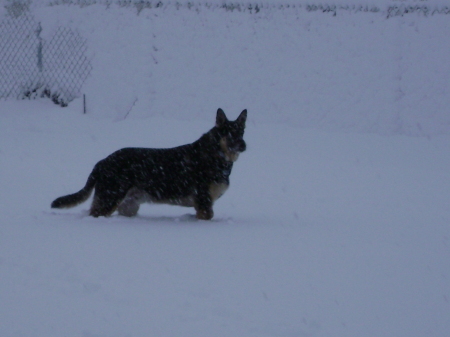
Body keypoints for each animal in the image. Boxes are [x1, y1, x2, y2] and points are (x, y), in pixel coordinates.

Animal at [51, 107, 248, 218]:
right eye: (230, 133)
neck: (217, 154)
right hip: (110, 199)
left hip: (128, 206)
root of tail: (102, 162)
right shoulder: (204, 204)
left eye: (241, 133)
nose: (244, 145)